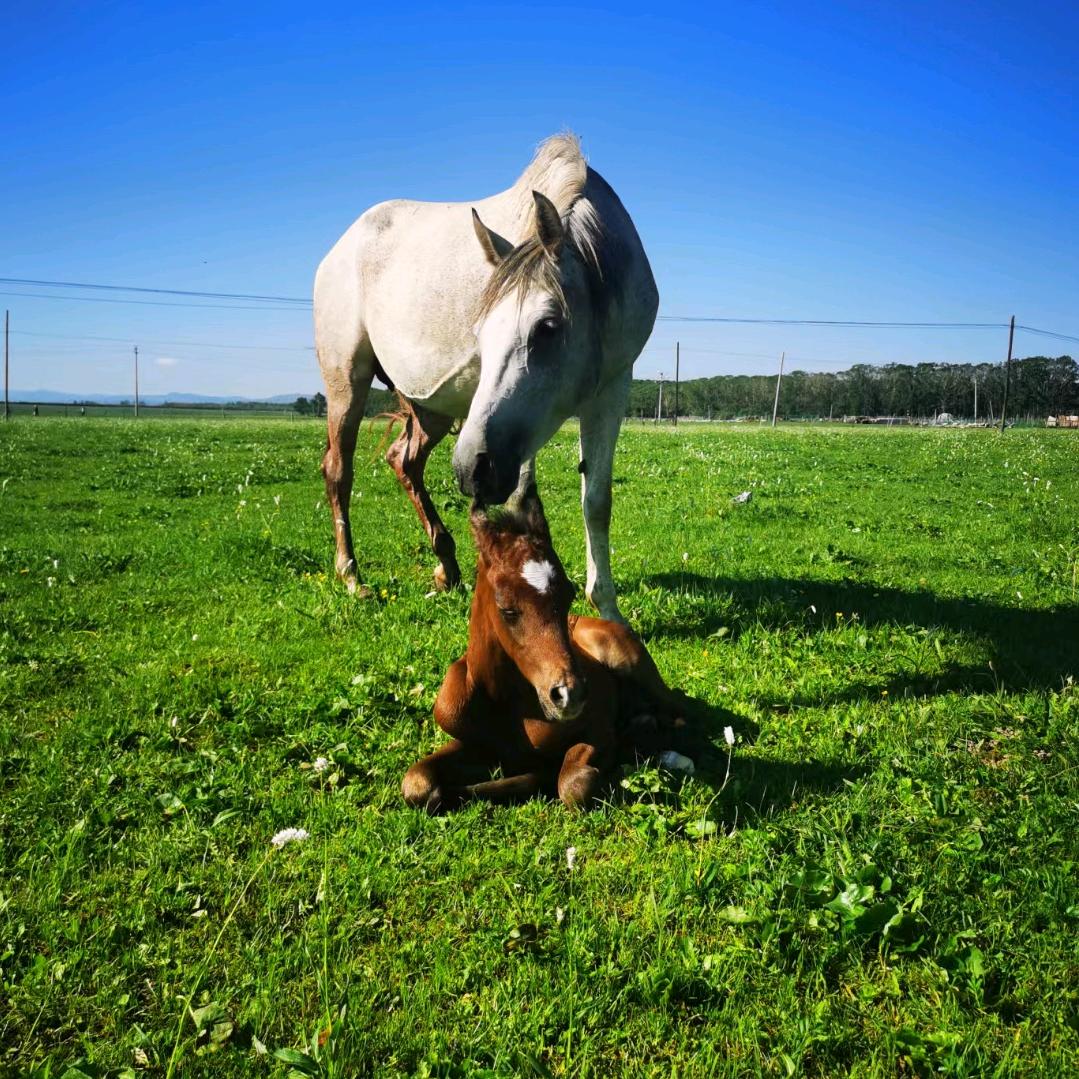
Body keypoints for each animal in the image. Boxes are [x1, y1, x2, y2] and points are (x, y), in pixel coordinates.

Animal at [314, 134, 658, 622]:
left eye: (547, 327)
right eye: (479, 332)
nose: (470, 468)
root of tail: (339, 248)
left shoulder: (610, 389)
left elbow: (596, 500)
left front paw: (606, 608)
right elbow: (522, 499)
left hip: (432, 410)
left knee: (405, 461)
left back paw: (447, 565)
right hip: (347, 382)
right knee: (339, 471)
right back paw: (351, 576)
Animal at [401, 488, 695, 813]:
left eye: (568, 595)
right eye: (507, 610)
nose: (570, 695)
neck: (506, 699)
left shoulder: (598, 727)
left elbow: (573, 784)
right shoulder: (469, 742)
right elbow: (416, 783)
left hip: (628, 661)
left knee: (682, 711)